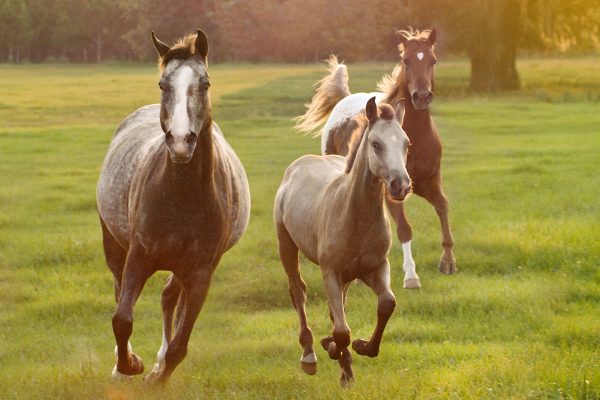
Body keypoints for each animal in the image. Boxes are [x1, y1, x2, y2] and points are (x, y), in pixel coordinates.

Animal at [96, 29, 251, 382]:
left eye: (205, 84)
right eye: (163, 84)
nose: (181, 142)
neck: (183, 195)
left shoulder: (201, 270)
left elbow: (181, 341)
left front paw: (158, 374)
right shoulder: (138, 256)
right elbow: (122, 318)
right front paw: (129, 365)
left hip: (184, 267)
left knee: (170, 299)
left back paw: (158, 360)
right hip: (114, 244)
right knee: (120, 291)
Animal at [276, 96, 412, 384]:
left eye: (406, 144)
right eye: (376, 144)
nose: (401, 186)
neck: (354, 216)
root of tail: (299, 164)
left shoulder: (375, 268)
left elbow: (386, 303)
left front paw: (361, 348)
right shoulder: (331, 271)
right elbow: (341, 330)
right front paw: (332, 347)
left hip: (348, 275)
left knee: (337, 307)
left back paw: (344, 365)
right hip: (286, 245)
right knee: (298, 291)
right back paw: (309, 355)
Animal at [294, 28, 454, 290]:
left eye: (433, 60)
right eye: (406, 60)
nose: (421, 97)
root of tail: (346, 98)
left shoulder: (428, 181)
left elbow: (442, 206)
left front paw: (448, 261)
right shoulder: (392, 191)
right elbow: (404, 228)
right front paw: (411, 276)